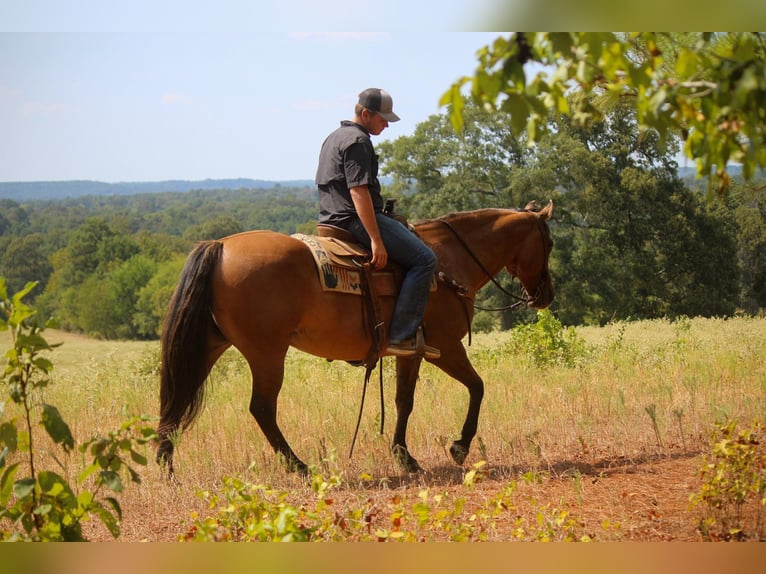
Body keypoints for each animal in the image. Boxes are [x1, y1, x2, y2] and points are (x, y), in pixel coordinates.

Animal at [156, 202, 556, 476]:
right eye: (549, 243)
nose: (546, 295)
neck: (447, 262)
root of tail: (221, 244)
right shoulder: (444, 348)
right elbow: (476, 387)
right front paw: (458, 446)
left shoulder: (410, 352)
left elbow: (403, 401)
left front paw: (404, 456)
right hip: (266, 352)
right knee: (262, 408)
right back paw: (299, 466)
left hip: (211, 345)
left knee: (178, 396)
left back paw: (166, 463)